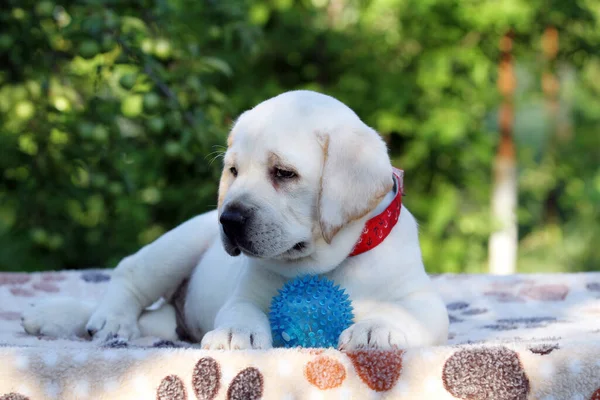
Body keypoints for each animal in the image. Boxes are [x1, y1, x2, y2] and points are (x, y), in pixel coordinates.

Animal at [21, 90, 448, 350]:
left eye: (284, 173)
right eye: (233, 171)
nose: (228, 219)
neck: (328, 263)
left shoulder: (424, 302)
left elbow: (404, 313)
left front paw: (374, 329)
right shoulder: (245, 295)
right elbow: (241, 312)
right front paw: (233, 335)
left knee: (149, 320)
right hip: (177, 245)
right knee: (129, 277)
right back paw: (106, 320)